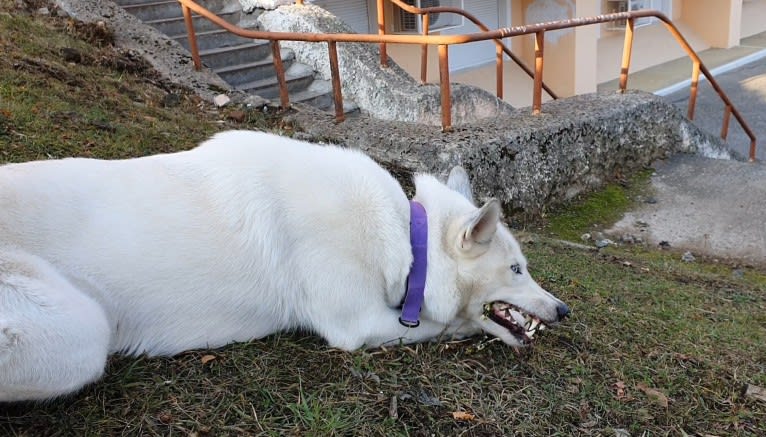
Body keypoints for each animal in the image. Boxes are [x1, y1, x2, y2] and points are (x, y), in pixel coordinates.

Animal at [0, 131, 568, 400]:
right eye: (516, 269)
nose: (562, 310)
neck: (407, 238)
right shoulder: (359, 326)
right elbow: (444, 323)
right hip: (81, 333)